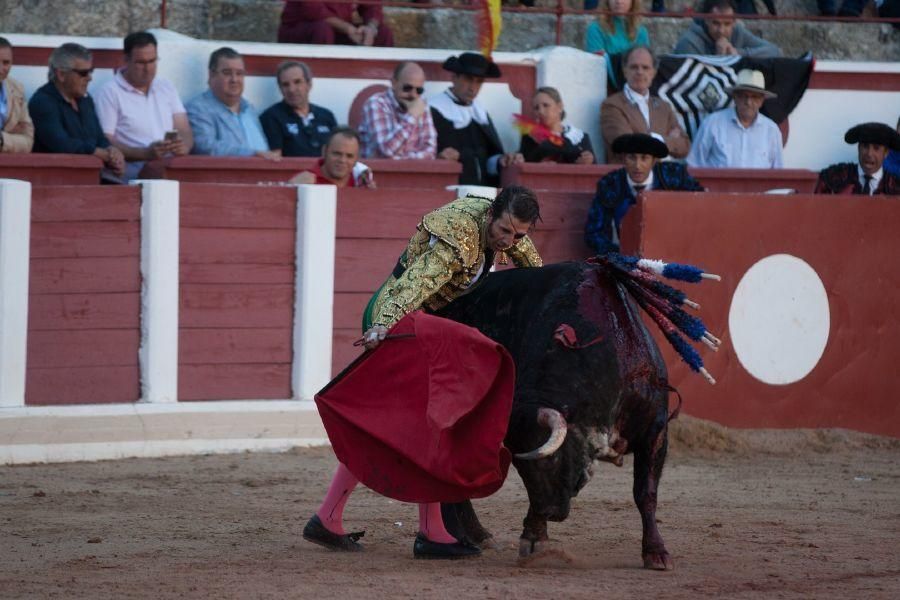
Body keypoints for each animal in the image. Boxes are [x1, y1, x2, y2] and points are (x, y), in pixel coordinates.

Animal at [436, 260, 676, 568]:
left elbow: (645, 492)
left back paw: (477, 535)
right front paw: (534, 537)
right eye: (520, 469)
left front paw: (656, 553)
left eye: (551, 461)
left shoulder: (655, 429)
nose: (550, 511)